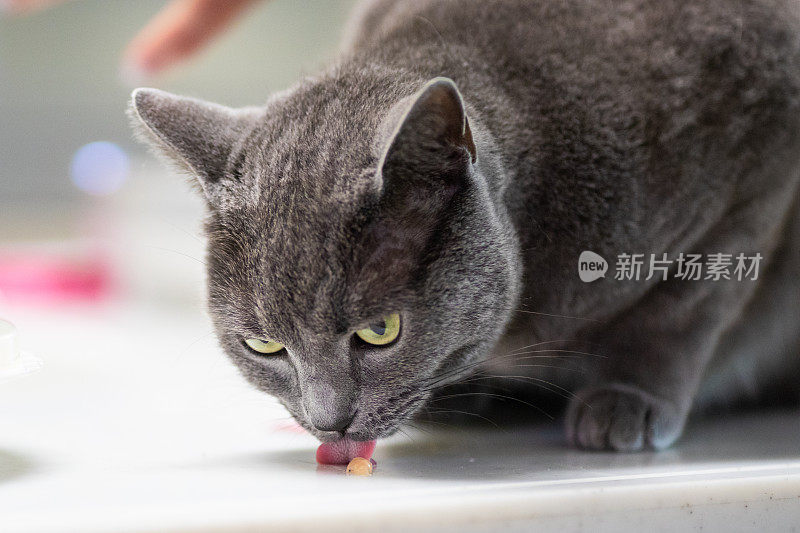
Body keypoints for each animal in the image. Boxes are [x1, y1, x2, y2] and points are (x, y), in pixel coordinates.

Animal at [130, 0, 800, 448]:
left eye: (381, 331)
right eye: (264, 346)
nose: (329, 424)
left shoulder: (757, 167)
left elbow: (681, 311)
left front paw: (626, 401)